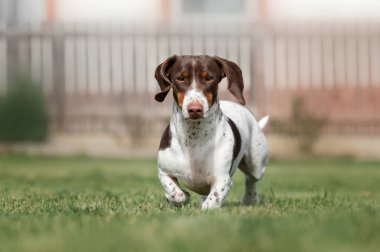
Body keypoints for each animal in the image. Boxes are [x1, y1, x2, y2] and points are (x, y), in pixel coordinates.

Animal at [154, 55, 268, 211]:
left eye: (209, 78)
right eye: (180, 78)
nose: (195, 109)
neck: (193, 138)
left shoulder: (222, 180)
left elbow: (210, 204)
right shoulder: (164, 172)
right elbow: (175, 194)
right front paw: (181, 196)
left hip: (256, 164)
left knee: (251, 179)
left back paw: (250, 199)